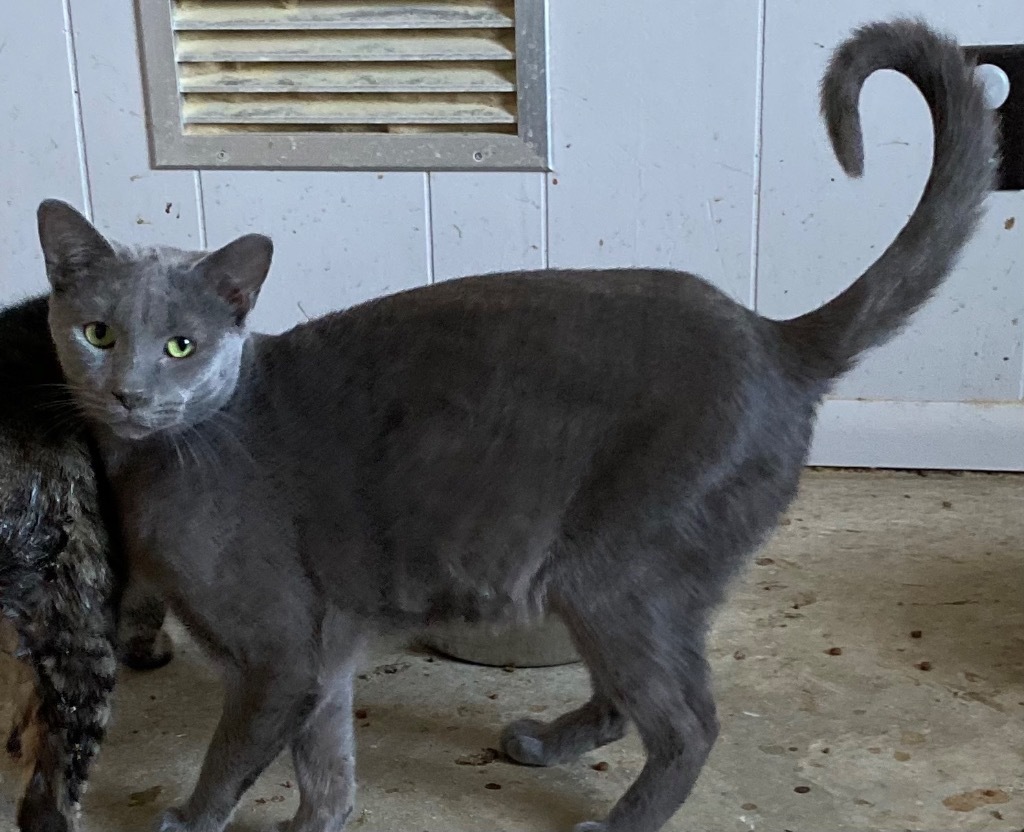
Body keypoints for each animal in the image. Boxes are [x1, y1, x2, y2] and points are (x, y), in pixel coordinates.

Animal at [36, 17, 995, 832]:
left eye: (182, 345)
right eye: (98, 333)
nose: (127, 391)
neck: (157, 462)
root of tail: (774, 335)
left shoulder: (278, 654)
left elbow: (231, 759)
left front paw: (188, 818)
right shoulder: (323, 659)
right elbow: (328, 770)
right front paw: (317, 822)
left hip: (617, 570)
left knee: (689, 721)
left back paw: (617, 822)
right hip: (613, 582)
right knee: (630, 700)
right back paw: (544, 743)